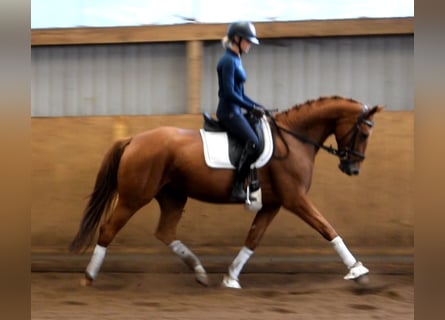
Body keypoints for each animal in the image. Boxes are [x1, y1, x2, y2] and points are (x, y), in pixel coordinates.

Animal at [69, 95, 382, 288]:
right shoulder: (296, 199)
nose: (352, 169)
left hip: (173, 196)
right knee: (108, 229)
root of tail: (133, 139)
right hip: (134, 197)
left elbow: (253, 238)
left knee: (165, 232)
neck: (294, 139)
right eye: (365, 133)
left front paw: (231, 277)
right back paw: (89, 276)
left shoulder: (273, 204)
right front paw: (359, 272)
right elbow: (327, 228)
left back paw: (200, 272)